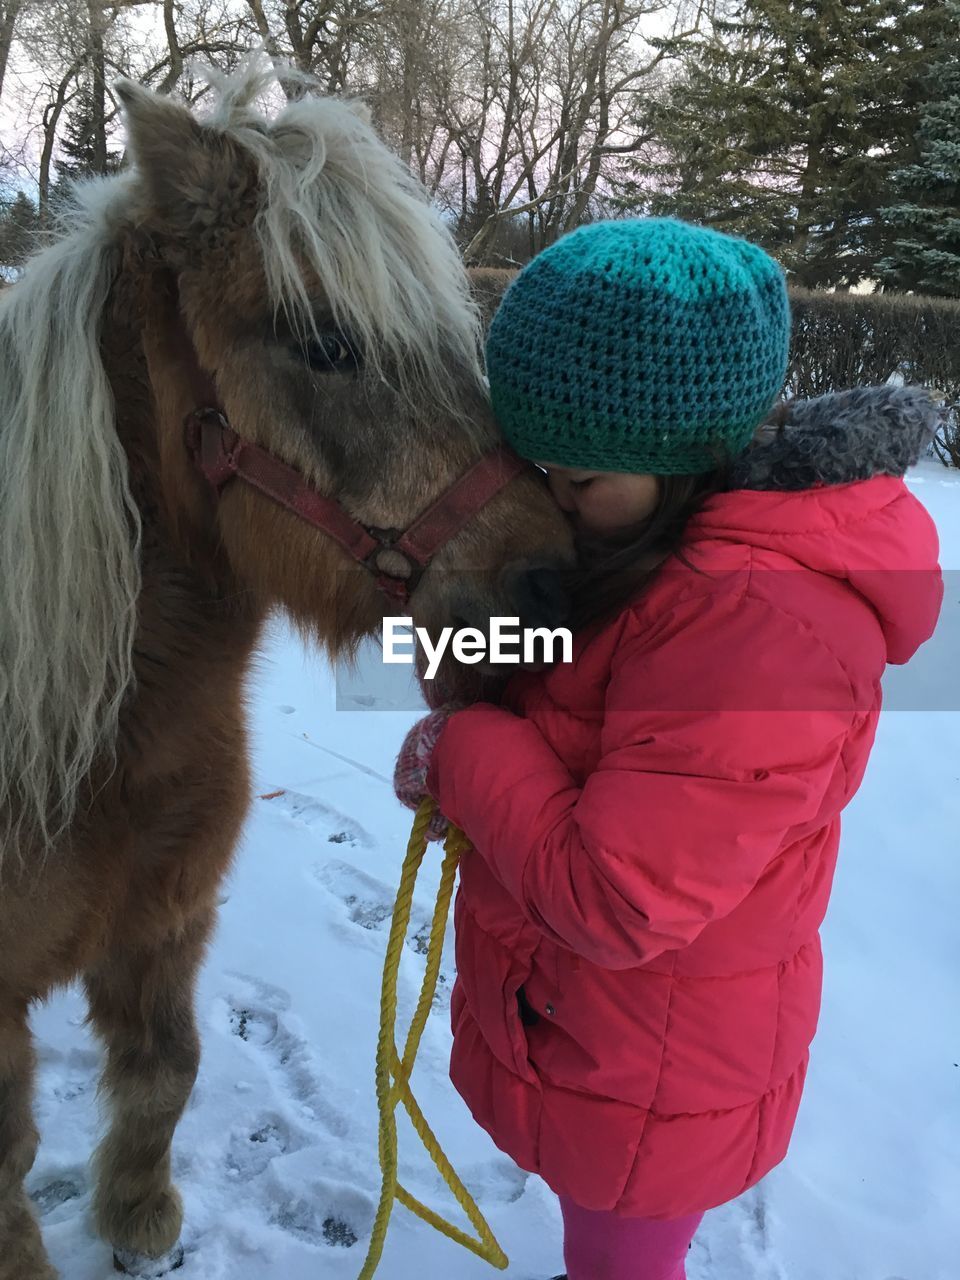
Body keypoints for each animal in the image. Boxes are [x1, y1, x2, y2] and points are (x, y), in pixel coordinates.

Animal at [0, 67, 570, 1280]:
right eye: (326, 345)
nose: (558, 585)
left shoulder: (166, 920)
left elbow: (167, 1069)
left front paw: (138, 1218)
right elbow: (8, 1159)